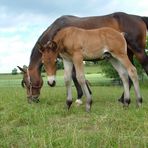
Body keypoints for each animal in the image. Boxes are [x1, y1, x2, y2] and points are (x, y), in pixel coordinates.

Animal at [17, 11, 147, 103]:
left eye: (27, 82)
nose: (31, 100)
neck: (59, 30)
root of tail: (139, 17)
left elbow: (75, 76)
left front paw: (80, 97)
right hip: (126, 54)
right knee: (129, 74)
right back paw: (123, 99)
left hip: (137, 51)